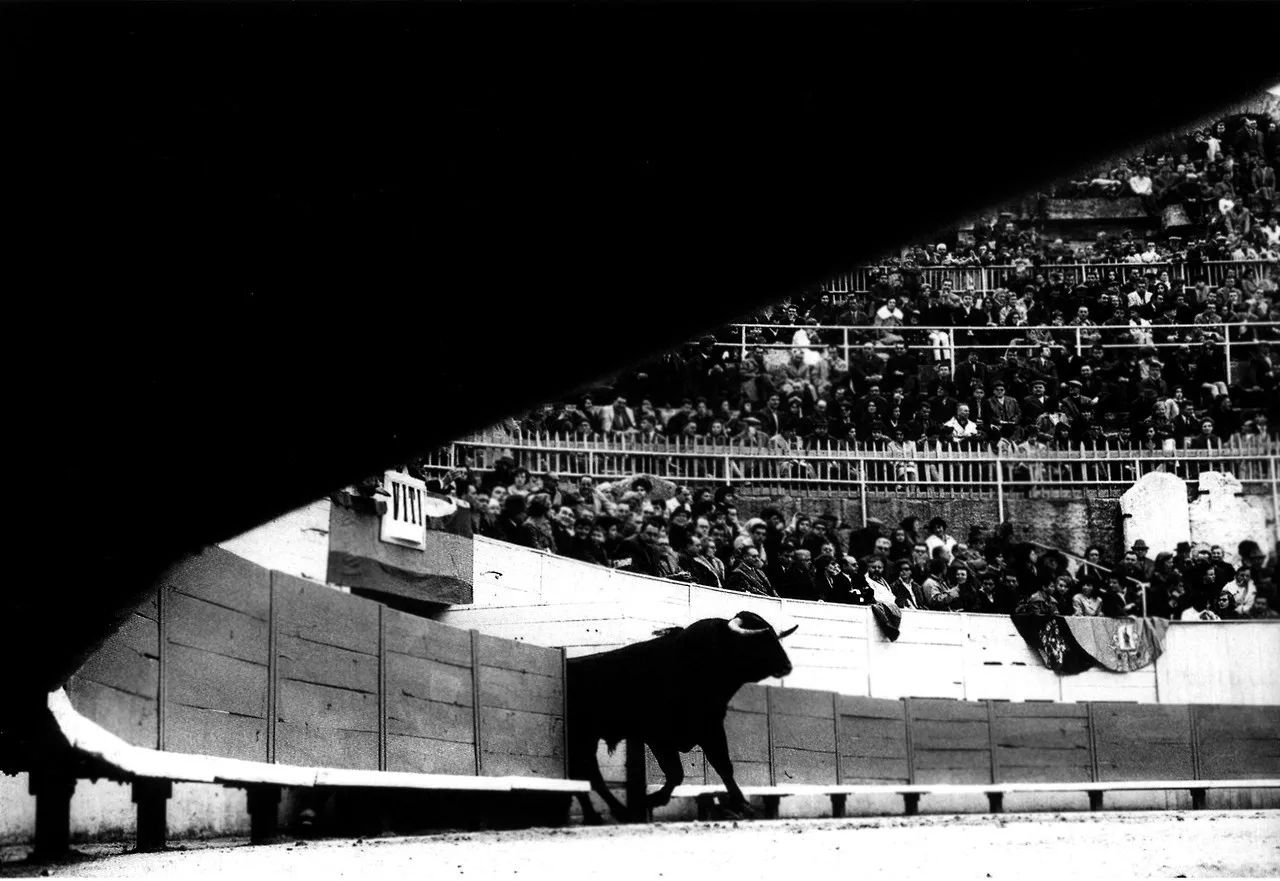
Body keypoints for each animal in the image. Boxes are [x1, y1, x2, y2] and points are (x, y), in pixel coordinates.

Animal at [568, 609, 793, 824]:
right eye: (760, 640)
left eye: (775, 637)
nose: (787, 666)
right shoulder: (659, 737)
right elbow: (676, 773)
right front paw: (651, 800)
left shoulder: (711, 729)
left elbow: (723, 766)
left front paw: (742, 804)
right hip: (582, 737)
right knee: (588, 773)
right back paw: (618, 812)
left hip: (586, 739)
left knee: (583, 773)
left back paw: (599, 815)